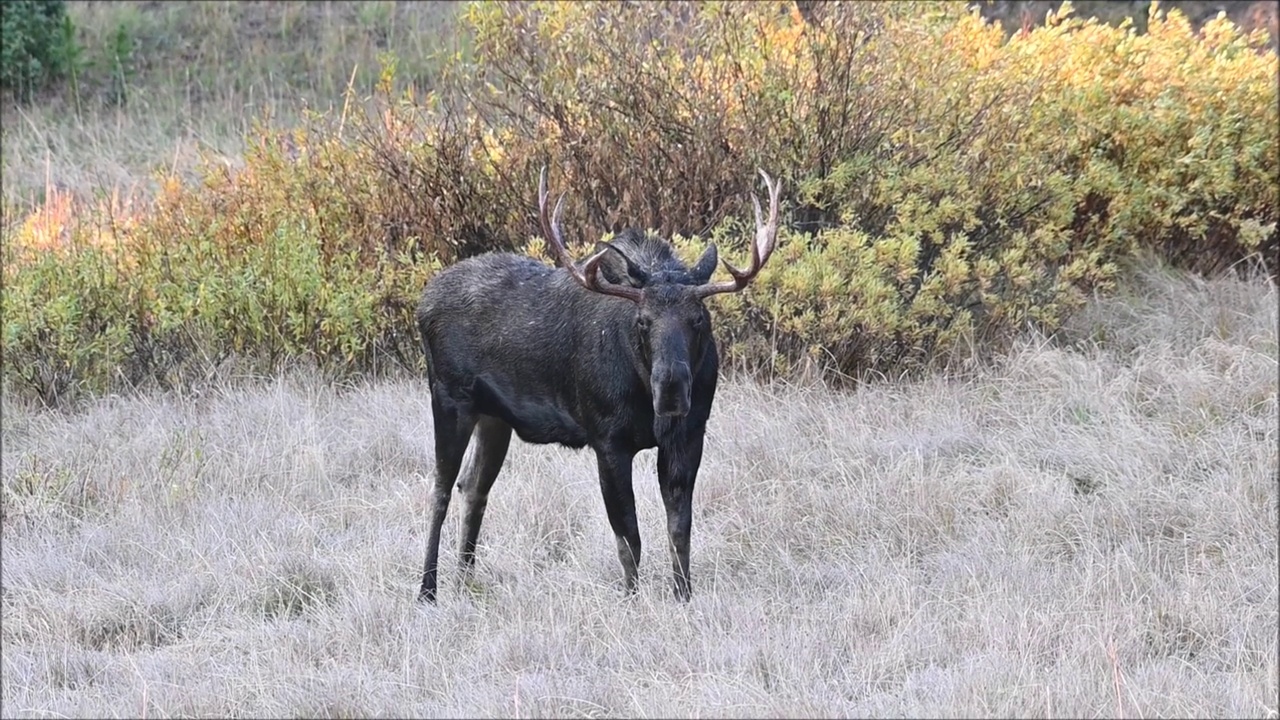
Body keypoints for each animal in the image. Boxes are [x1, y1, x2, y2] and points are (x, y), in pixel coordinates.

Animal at [414, 166, 783, 599]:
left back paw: (465, 578)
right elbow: (629, 537)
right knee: (440, 488)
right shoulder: (607, 440)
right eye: (643, 322)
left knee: (473, 486)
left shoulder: (688, 435)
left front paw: (683, 595)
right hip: (448, 398)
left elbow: (679, 530)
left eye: (699, 319)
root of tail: (422, 304)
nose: (672, 390)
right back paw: (427, 589)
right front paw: (632, 598)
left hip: (495, 417)